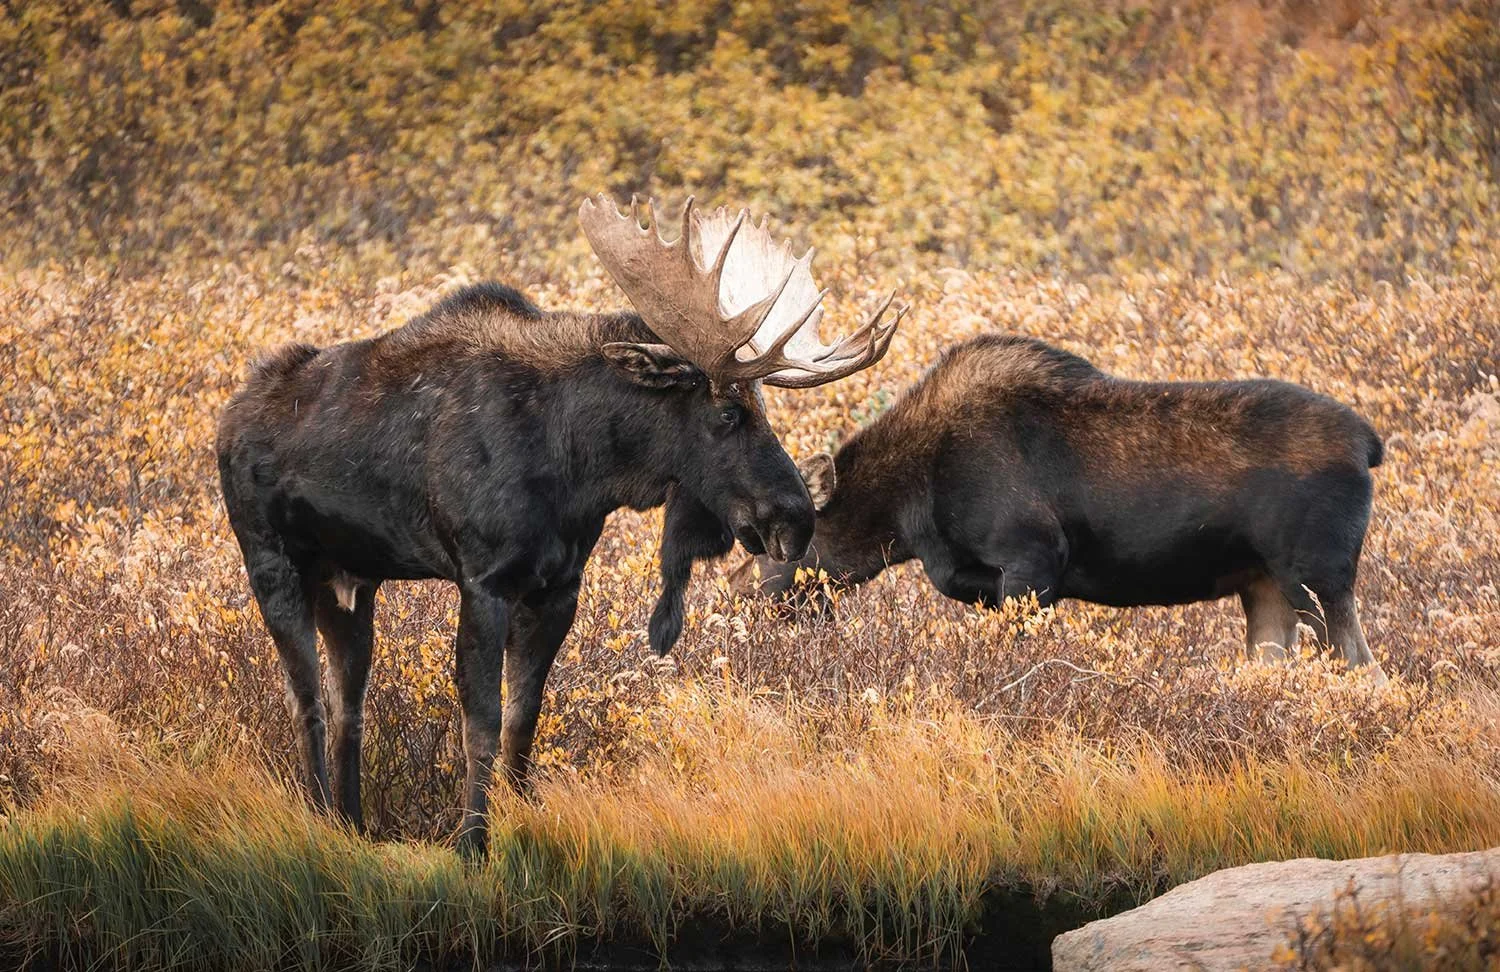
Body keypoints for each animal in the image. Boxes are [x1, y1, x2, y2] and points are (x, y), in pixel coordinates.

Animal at [216, 195, 906, 855]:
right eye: (728, 412)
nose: (796, 517)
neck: (580, 465)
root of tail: (228, 416)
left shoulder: (558, 587)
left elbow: (524, 721)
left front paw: (524, 823)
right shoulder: (485, 580)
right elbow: (482, 724)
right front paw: (472, 844)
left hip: (351, 581)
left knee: (347, 705)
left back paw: (351, 824)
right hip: (270, 563)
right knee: (305, 700)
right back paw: (316, 818)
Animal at [732, 334, 1388, 683]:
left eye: (769, 546)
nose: (733, 599)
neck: (911, 515)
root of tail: (1370, 444)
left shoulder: (1032, 560)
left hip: (1317, 576)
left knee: (1371, 671)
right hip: (1265, 585)